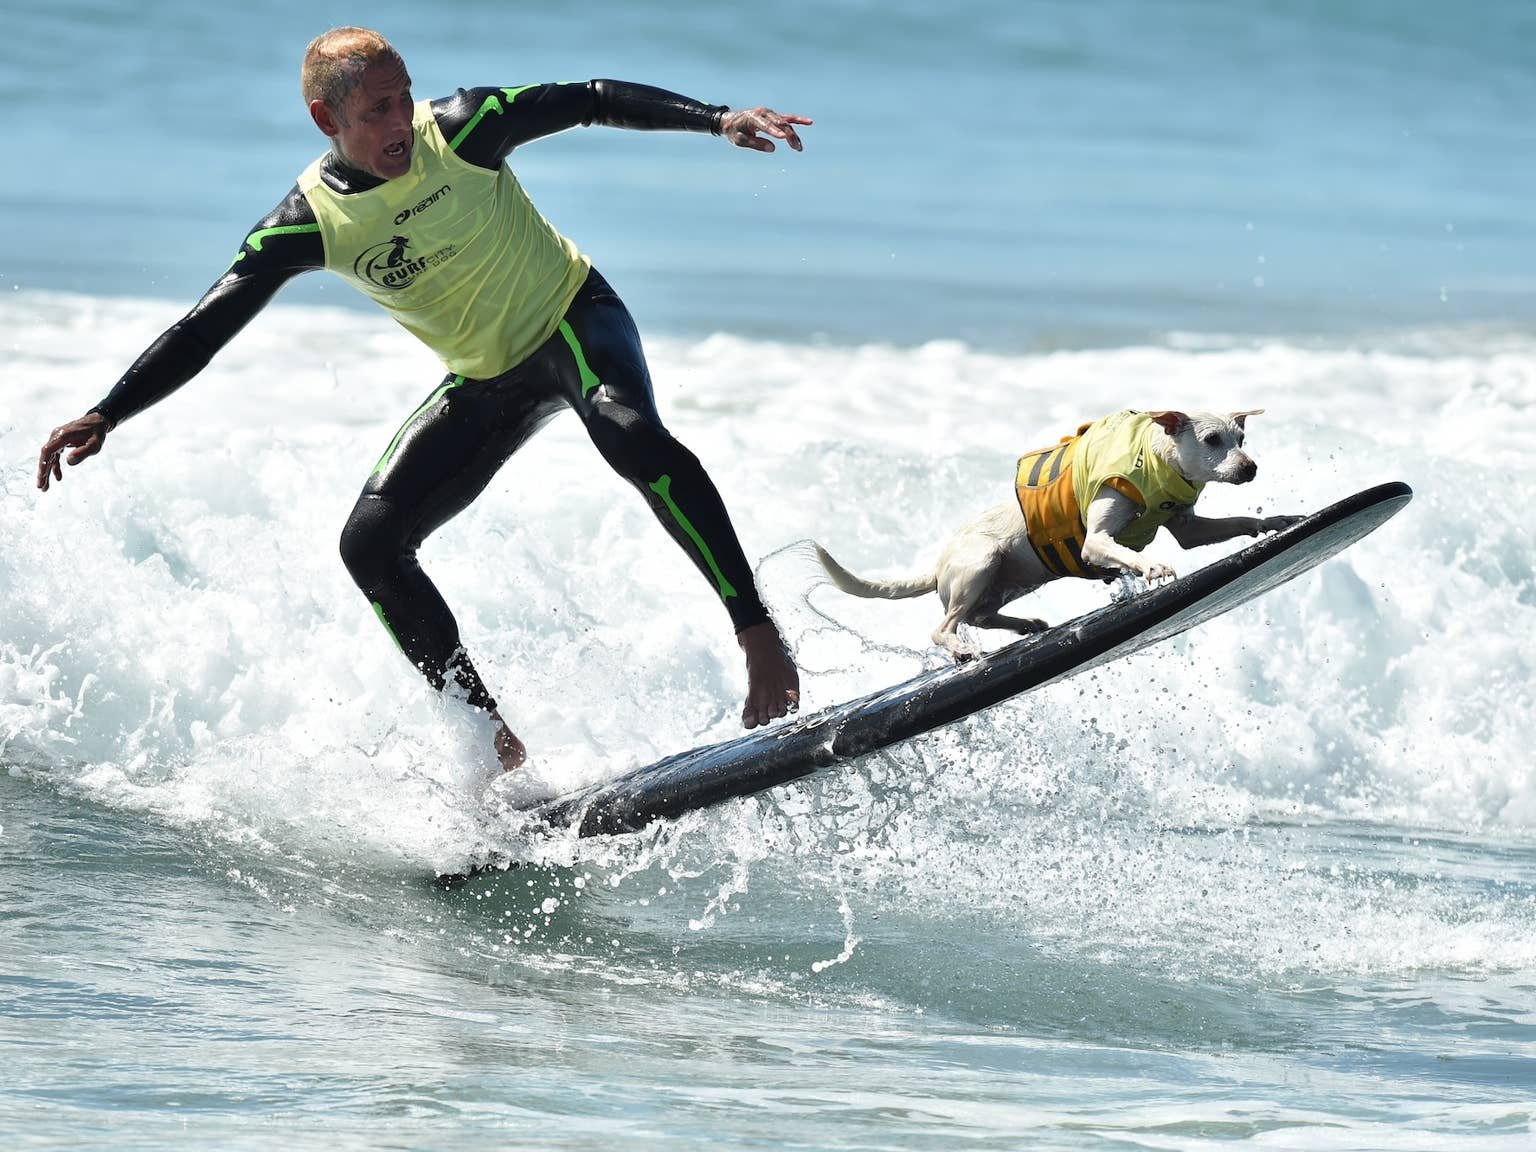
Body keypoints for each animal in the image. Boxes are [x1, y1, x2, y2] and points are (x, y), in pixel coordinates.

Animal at [813, 409, 1302, 661]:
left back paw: (1024, 624)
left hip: (1009, 581)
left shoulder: (1190, 529)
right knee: (945, 626)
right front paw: (1152, 566)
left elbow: (1237, 522)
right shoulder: (1096, 540)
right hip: (982, 562)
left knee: (979, 616)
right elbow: (1124, 552)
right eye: (1213, 438)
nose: (1250, 467)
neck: (1156, 462)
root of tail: (935, 567)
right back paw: (961, 647)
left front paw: (1275, 521)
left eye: (1241, 439)